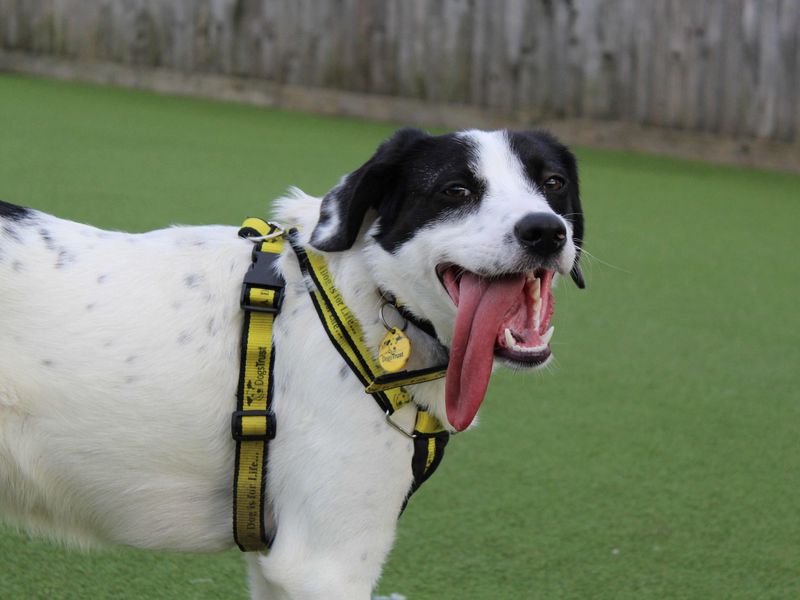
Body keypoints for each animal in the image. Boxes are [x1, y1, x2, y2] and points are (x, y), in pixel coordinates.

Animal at [3, 127, 584, 600]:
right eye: (456, 190)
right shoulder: (325, 564)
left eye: (553, 183)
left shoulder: (277, 561)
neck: (361, 302)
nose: (545, 230)